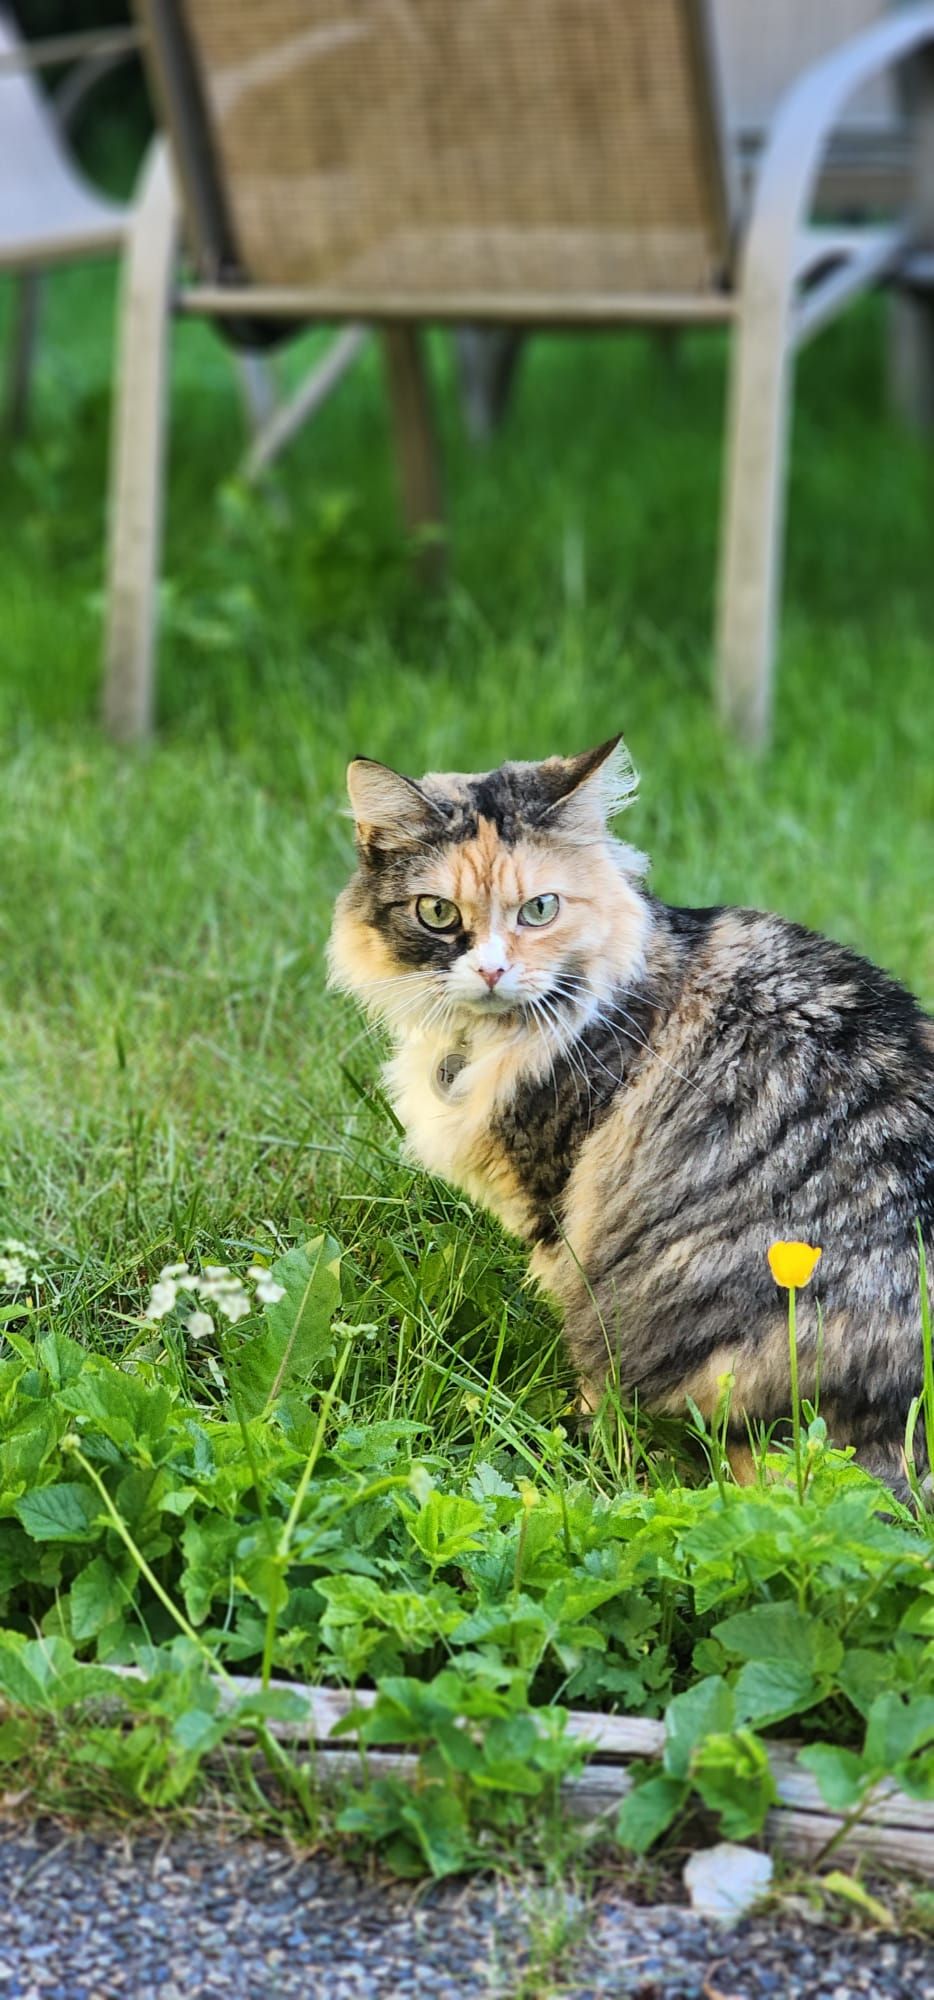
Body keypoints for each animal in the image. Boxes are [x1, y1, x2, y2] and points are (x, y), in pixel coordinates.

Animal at [330, 744, 934, 1496]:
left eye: (540, 909)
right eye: (438, 912)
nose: (493, 971)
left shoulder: (561, 1212)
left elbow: (589, 1367)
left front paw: (574, 1441)